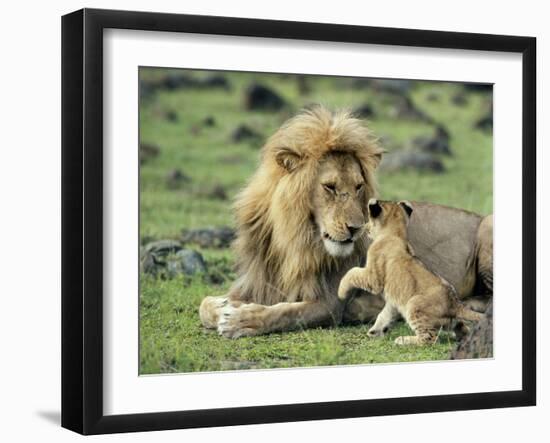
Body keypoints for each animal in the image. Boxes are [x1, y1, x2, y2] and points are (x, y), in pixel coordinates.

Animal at [201, 106, 494, 338]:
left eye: (358, 186)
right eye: (330, 187)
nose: (356, 229)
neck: (293, 239)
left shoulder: (329, 303)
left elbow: (284, 313)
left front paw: (242, 321)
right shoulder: (258, 282)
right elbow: (204, 305)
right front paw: (225, 307)